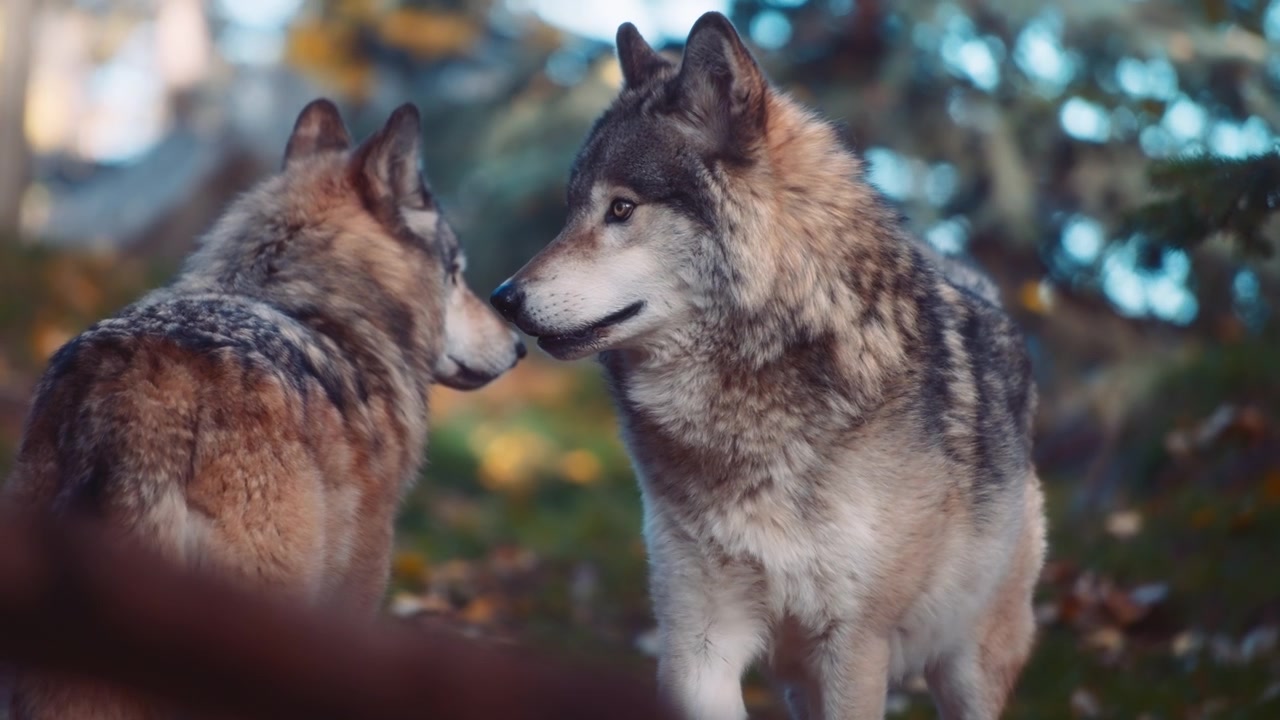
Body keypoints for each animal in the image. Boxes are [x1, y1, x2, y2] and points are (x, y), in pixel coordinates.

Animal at [490, 13, 1045, 720]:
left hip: (968, 663)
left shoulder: (854, 646)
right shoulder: (697, 639)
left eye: (621, 208)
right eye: (570, 210)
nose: (503, 297)